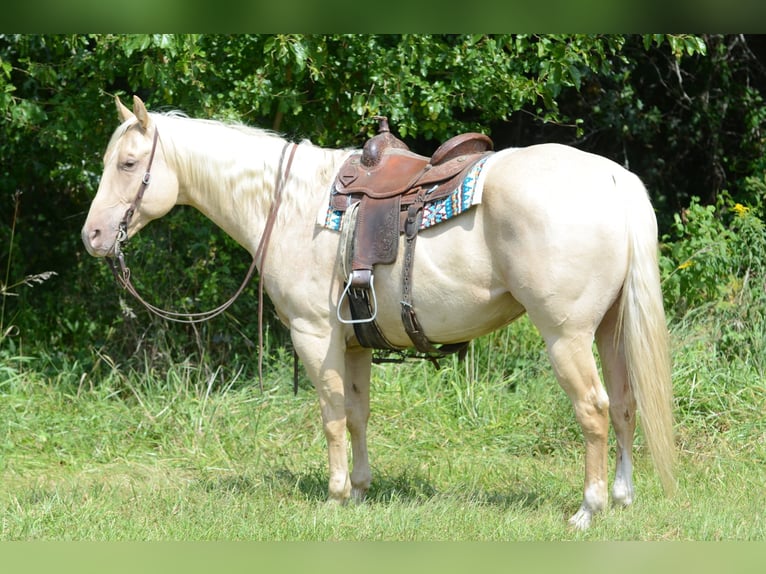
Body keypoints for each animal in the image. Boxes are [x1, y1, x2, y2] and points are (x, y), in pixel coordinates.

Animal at [81, 95, 676, 530]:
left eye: (129, 164)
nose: (93, 236)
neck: (291, 205)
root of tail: (611, 178)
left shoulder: (315, 336)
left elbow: (331, 416)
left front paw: (335, 495)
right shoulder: (355, 342)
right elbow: (358, 414)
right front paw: (362, 491)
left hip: (566, 335)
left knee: (594, 409)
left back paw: (588, 509)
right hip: (609, 328)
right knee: (625, 404)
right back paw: (622, 497)